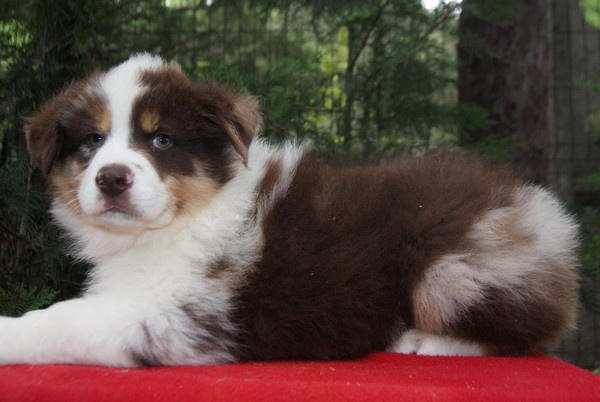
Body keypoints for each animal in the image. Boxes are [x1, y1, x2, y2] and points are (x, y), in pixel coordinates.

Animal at [0, 54, 579, 367]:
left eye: (162, 140)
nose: (112, 177)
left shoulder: (174, 313)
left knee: (529, 334)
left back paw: (427, 340)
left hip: (452, 270)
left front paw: (11, 334)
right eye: (92, 142)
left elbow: (63, 320)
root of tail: (541, 212)